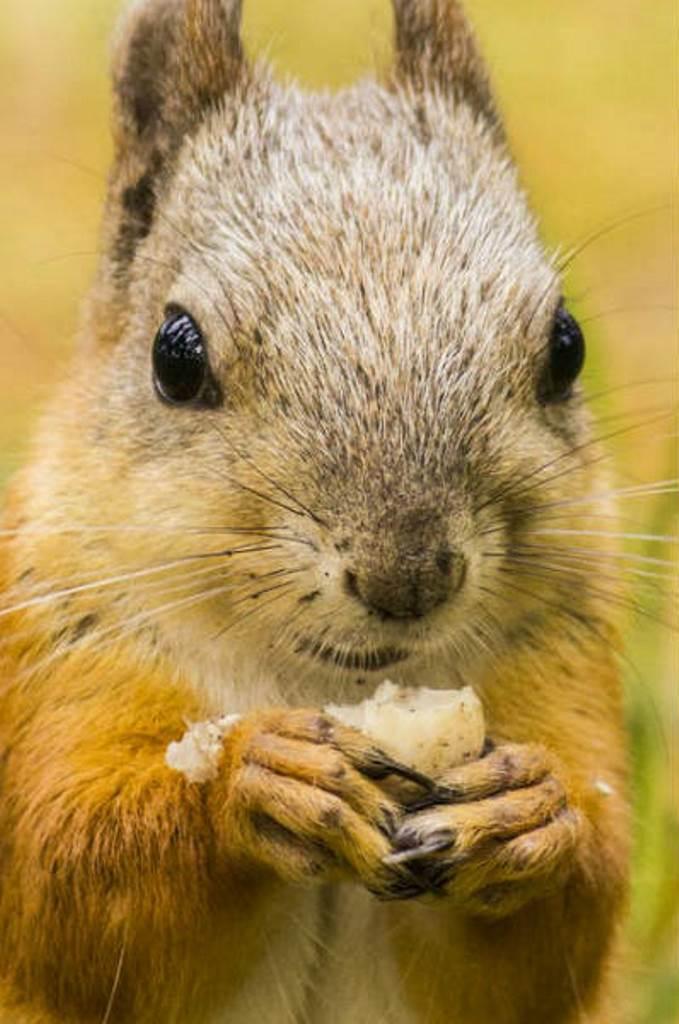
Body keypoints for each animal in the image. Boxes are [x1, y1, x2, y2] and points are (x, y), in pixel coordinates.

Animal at [0, 2, 630, 1024]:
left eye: (565, 347)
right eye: (174, 356)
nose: (406, 577)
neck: (317, 681)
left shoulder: (561, 660)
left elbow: (549, 946)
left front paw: (531, 813)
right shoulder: (62, 651)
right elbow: (72, 888)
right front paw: (251, 783)